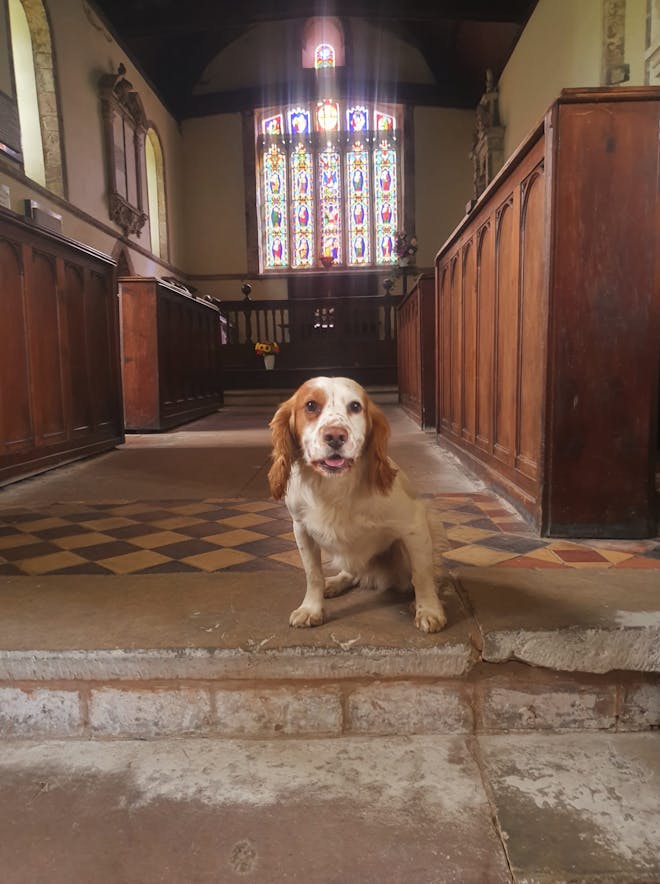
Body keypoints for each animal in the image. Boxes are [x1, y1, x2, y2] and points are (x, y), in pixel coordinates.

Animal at [268, 376, 448, 632]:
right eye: (311, 405)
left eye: (355, 406)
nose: (335, 436)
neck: (334, 486)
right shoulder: (301, 528)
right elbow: (313, 575)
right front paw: (311, 609)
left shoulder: (414, 525)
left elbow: (422, 574)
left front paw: (429, 610)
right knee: (351, 571)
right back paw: (335, 582)